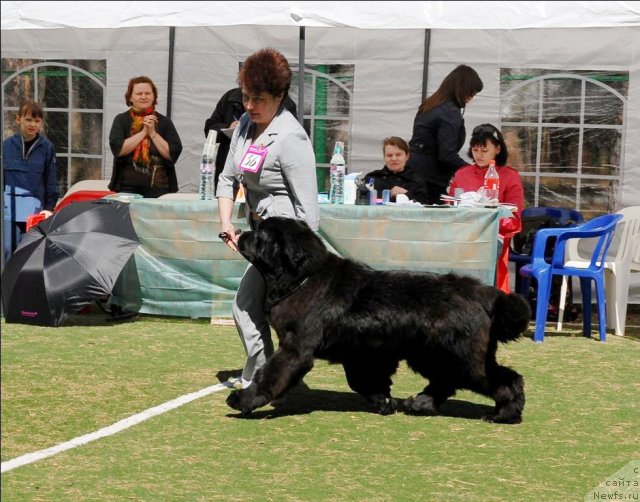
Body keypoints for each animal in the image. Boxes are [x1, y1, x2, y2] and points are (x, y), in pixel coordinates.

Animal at [228, 217, 532, 424]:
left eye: (260, 234)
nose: (240, 233)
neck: (302, 279)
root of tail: (485, 294)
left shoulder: (296, 349)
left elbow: (270, 374)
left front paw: (244, 399)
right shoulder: (359, 355)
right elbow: (363, 381)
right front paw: (384, 402)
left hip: (463, 358)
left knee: (505, 379)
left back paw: (504, 414)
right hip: (432, 355)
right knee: (447, 381)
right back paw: (421, 404)